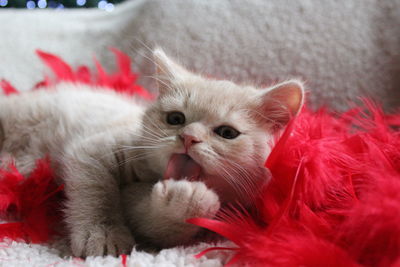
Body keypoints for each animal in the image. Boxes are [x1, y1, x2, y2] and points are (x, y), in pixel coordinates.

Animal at [0, 49, 304, 258]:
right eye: (175, 118)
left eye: (227, 133)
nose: (188, 137)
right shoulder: (95, 148)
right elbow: (96, 191)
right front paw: (102, 234)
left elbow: (158, 226)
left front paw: (183, 204)